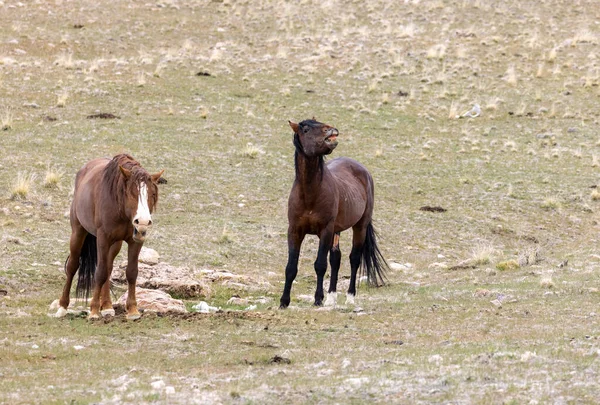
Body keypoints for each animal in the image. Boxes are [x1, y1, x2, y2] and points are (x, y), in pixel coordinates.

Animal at [56, 152, 163, 318]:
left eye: (152, 194)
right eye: (132, 193)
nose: (143, 221)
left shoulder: (136, 241)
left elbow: (131, 272)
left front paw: (132, 309)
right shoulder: (103, 239)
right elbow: (100, 272)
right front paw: (94, 310)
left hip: (115, 243)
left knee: (109, 267)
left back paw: (106, 306)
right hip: (78, 232)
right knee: (73, 266)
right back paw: (62, 306)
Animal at [278, 118, 386, 308]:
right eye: (306, 129)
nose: (331, 130)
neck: (309, 193)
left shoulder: (325, 230)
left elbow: (320, 265)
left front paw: (318, 299)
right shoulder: (294, 230)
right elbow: (291, 267)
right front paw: (284, 302)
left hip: (360, 227)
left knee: (354, 259)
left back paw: (350, 297)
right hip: (337, 230)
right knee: (336, 258)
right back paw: (331, 298)